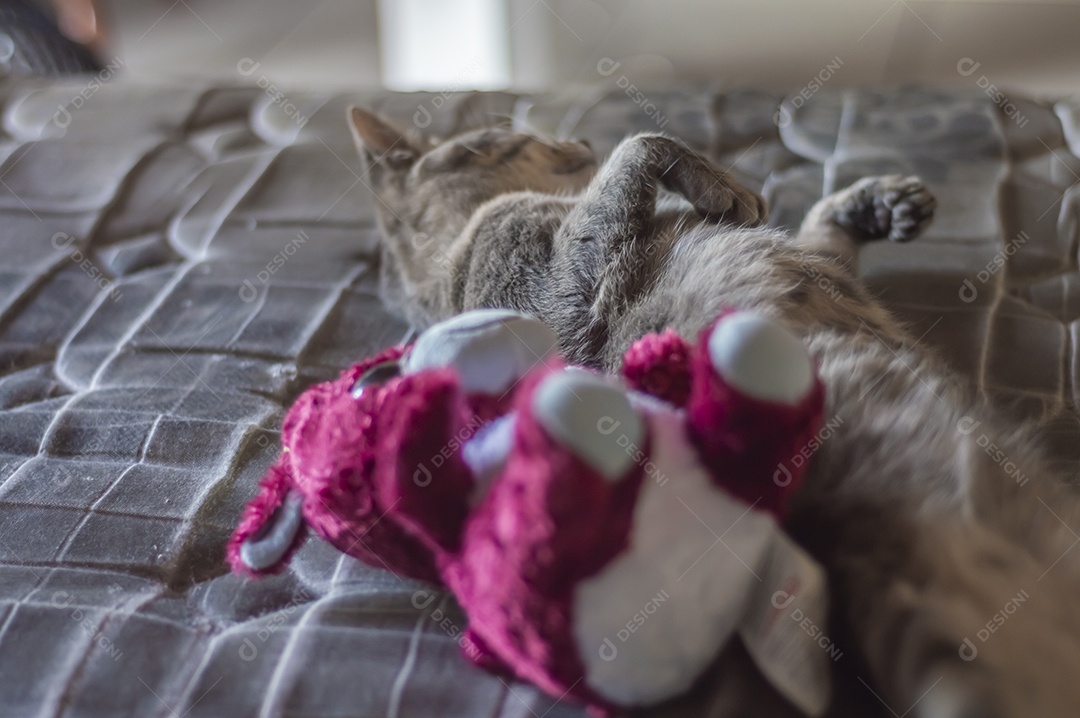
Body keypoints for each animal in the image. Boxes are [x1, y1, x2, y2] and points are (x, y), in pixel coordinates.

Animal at [347, 107, 1080, 716]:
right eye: (516, 130)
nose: (578, 140)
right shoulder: (562, 285)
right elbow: (642, 142)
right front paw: (724, 184)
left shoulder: (817, 258)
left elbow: (817, 223)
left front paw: (878, 203)